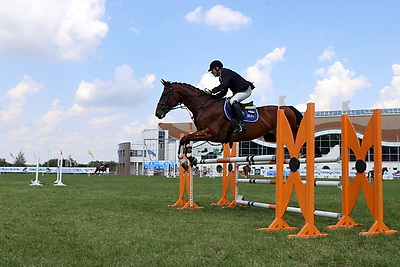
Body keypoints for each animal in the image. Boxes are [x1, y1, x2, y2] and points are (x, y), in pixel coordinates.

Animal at [155, 79, 302, 170]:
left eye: (166, 93)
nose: (158, 113)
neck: (204, 106)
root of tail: (288, 108)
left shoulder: (211, 133)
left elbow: (185, 138)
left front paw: (184, 160)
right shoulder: (204, 133)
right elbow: (186, 140)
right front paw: (189, 160)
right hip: (270, 136)